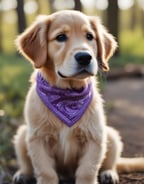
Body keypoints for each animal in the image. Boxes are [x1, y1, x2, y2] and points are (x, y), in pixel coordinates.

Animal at [13, 10, 144, 184]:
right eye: (61, 37)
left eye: (89, 36)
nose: (84, 57)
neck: (67, 95)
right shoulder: (38, 138)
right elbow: (46, 172)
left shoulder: (94, 137)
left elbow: (87, 170)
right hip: (22, 135)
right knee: (26, 164)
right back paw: (23, 174)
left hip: (111, 135)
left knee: (112, 162)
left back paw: (109, 173)